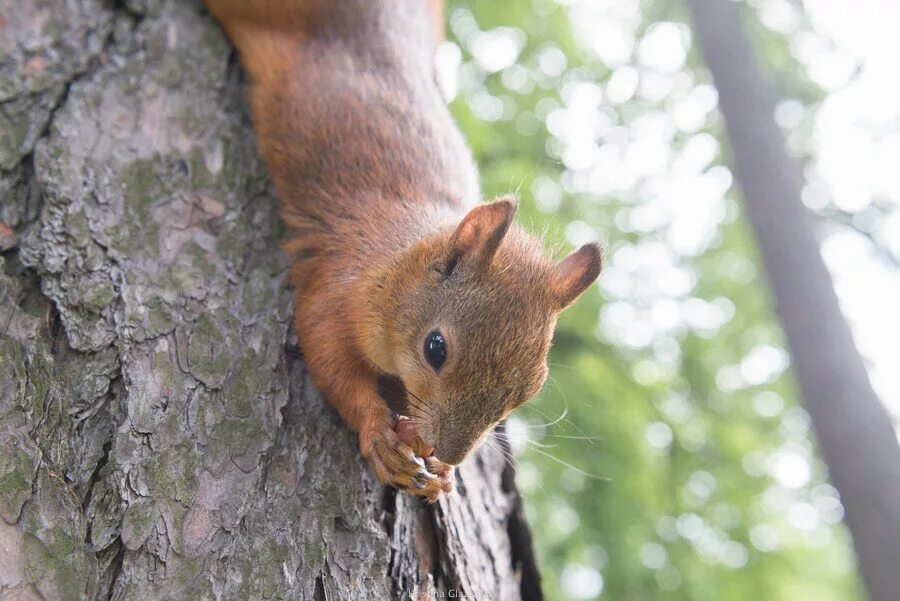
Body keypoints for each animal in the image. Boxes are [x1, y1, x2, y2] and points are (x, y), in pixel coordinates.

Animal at [200, 0, 600, 502]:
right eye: (435, 349)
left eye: (529, 389)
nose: (448, 453)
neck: (399, 259)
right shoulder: (340, 288)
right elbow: (327, 355)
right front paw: (380, 435)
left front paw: (440, 471)